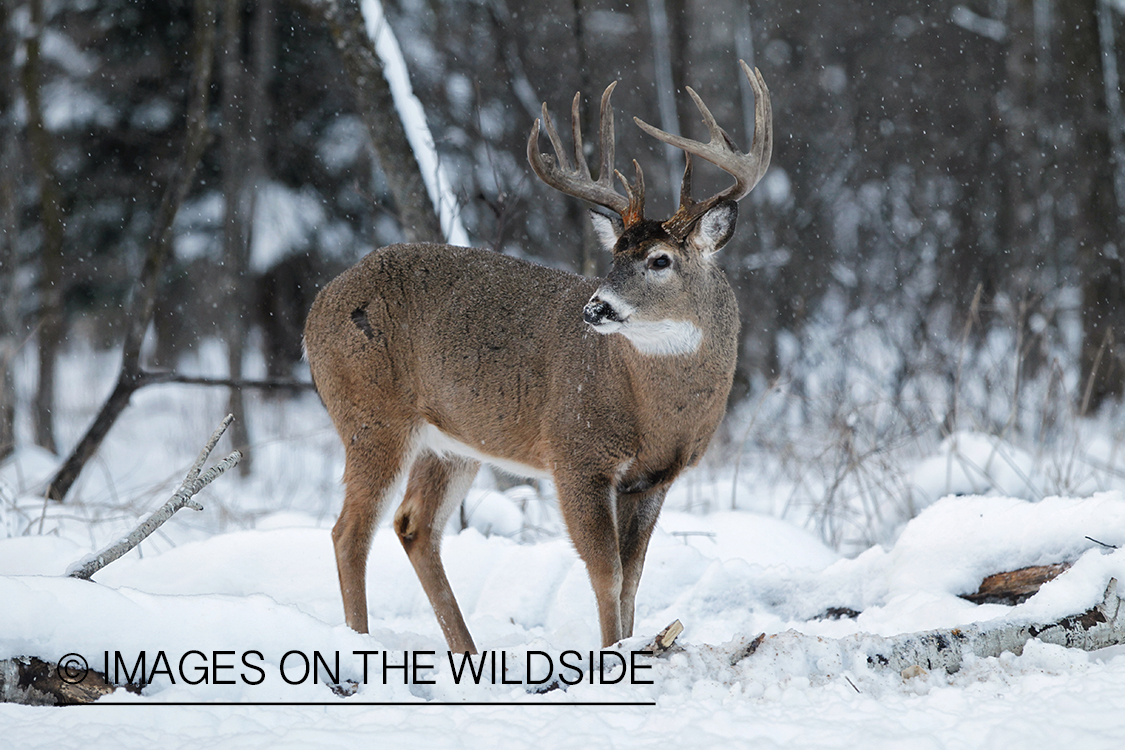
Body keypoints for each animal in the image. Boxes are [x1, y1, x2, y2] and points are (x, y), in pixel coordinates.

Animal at [303, 61, 769, 652]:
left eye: (660, 260)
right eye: (614, 255)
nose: (596, 307)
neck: (656, 411)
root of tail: (316, 308)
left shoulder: (656, 478)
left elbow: (633, 578)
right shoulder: (574, 452)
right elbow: (606, 573)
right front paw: (612, 655)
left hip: (451, 442)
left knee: (414, 525)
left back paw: (466, 651)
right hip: (371, 415)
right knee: (348, 532)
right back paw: (359, 645)